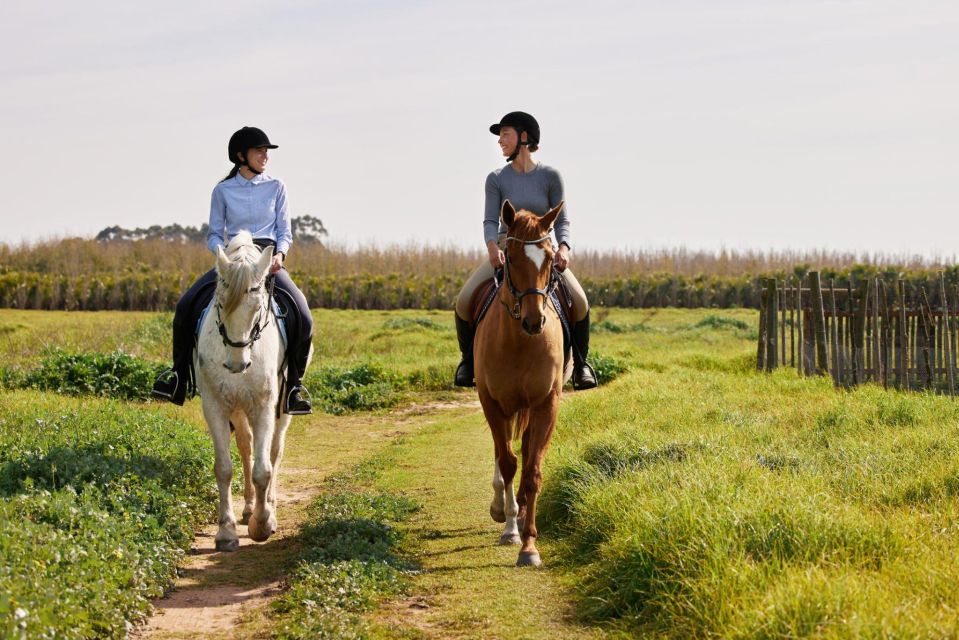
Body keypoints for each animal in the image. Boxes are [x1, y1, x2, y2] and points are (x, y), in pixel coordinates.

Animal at [194, 230, 300, 552]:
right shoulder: (215, 406)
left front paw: (262, 526)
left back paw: (269, 507)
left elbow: (264, 470)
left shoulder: (264, 406)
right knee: (246, 446)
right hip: (238, 409)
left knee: (274, 451)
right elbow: (224, 468)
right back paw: (249, 508)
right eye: (220, 304)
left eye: (258, 307)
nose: (237, 364)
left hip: (282, 408)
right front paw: (226, 532)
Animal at [474, 199, 568, 564]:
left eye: (551, 260)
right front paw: (511, 528)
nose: (534, 321)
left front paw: (529, 545)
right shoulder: (491, 403)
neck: (519, 342)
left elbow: (532, 471)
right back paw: (502, 506)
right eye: (510, 259)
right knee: (504, 455)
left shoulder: (546, 404)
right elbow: (508, 462)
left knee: (526, 451)